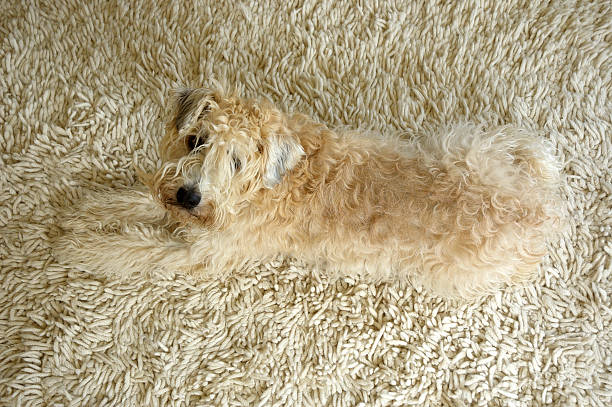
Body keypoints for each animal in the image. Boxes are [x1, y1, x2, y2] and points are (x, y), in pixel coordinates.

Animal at [53, 88, 564, 300]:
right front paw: (84, 213)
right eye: (196, 140)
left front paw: (79, 246)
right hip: (466, 144)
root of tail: (538, 213)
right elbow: (138, 201)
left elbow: (130, 248)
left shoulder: (198, 253)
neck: (266, 187)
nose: (190, 197)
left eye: (236, 161)